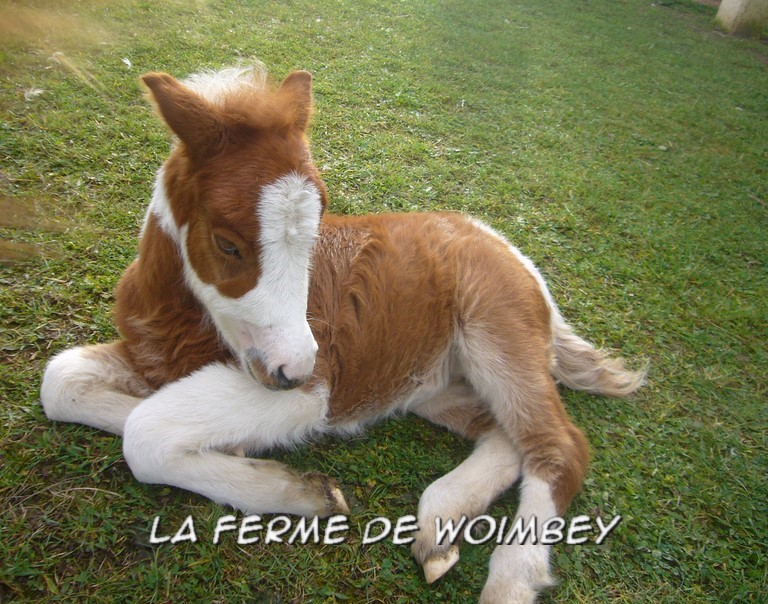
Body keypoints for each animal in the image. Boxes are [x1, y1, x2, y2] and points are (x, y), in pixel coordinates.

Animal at [40, 63, 640, 600]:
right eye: (227, 244)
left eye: (317, 231)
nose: (294, 365)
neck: (182, 321)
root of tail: (502, 243)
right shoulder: (154, 356)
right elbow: (62, 382)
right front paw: (237, 448)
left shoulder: (313, 391)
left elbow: (144, 433)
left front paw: (300, 491)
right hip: (428, 384)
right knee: (505, 437)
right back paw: (439, 524)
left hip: (498, 332)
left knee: (557, 446)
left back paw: (510, 580)